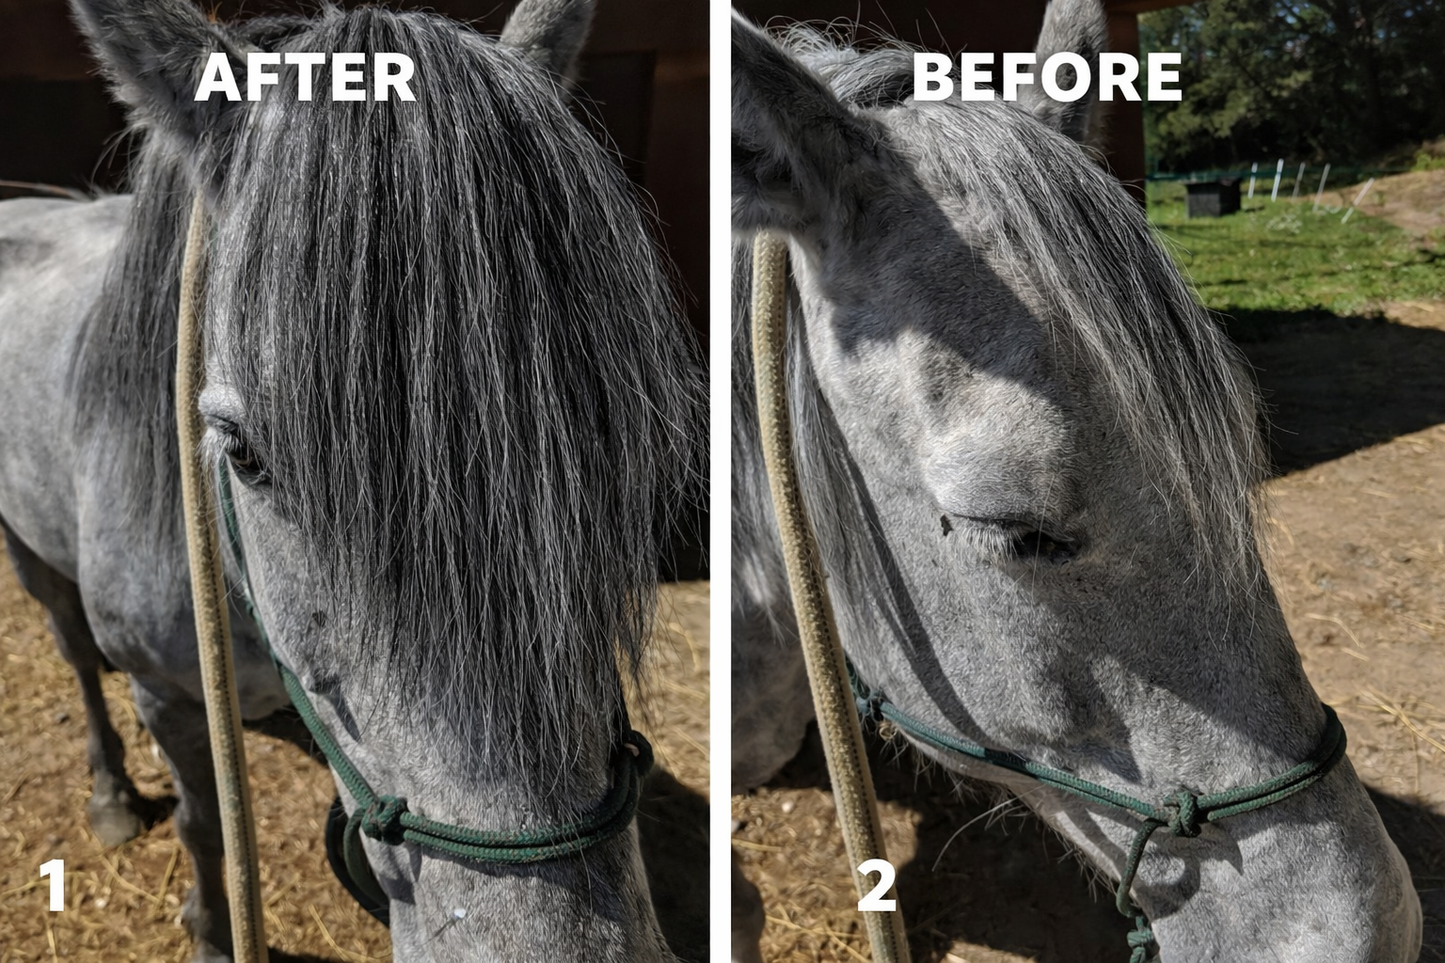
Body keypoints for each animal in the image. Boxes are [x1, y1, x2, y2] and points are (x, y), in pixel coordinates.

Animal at [0, 1, 705, 960]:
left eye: (617, 428)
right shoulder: (165, 691)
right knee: (71, 648)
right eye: (243, 452)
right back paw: (110, 792)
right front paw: (210, 927)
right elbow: (202, 824)